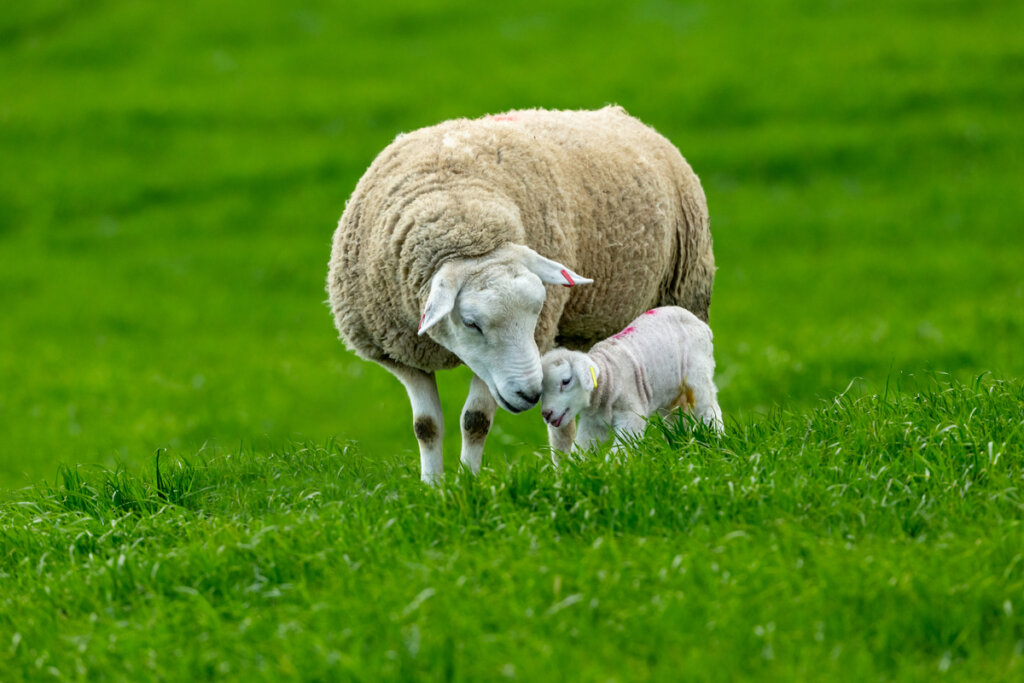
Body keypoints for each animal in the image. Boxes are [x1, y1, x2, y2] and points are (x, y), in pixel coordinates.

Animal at [540, 306, 723, 456]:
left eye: (566, 381)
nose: (546, 414)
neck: (608, 377)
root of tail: (702, 325)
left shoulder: (631, 415)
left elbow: (619, 451)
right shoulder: (593, 424)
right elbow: (582, 449)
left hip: (698, 374)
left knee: (710, 409)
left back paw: (716, 440)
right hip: (670, 392)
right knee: (676, 417)